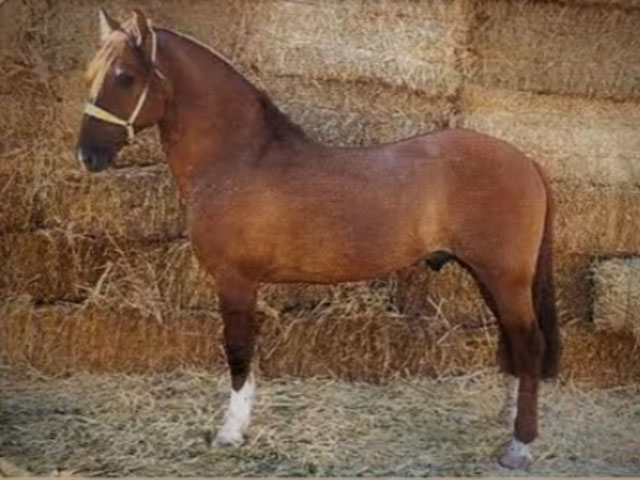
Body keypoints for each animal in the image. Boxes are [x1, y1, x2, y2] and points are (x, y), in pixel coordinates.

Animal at [75, 9, 560, 470]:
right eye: (90, 75)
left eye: (124, 76)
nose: (87, 155)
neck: (239, 158)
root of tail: (527, 161)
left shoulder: (235, 282)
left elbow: (238, 351)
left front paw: (230, 432)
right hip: (488, 277)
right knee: (513, 342)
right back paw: (509, 417)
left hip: (505, 277)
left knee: (529, 343)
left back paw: (519, 445)